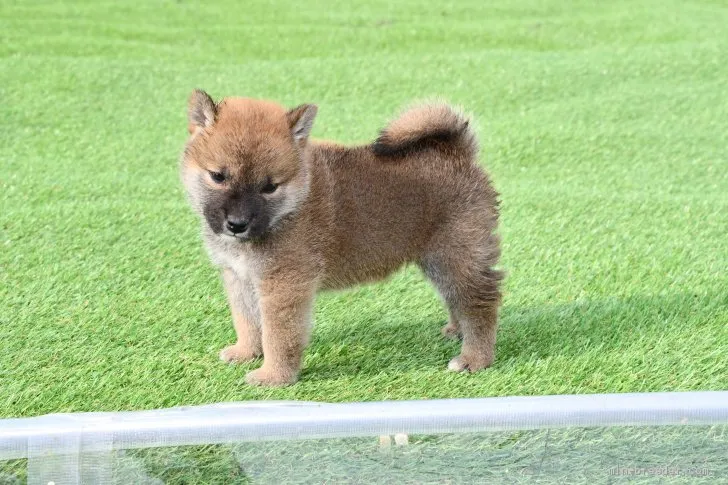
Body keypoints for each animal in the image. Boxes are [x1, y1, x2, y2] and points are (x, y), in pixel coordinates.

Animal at [181, 90, 500, 386]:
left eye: (269, 187)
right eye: (218, 176)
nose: (237, 224)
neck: (290, 208)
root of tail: (459, 153)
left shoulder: (284, 285)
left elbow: (278, 335)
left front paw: (274, 376)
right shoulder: (239, 276)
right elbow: (246, 320)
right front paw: (246, 352)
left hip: (457, 255)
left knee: (480, 304)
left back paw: (474, 358)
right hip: (438, 260)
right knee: (454, 296)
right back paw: (456, 331)